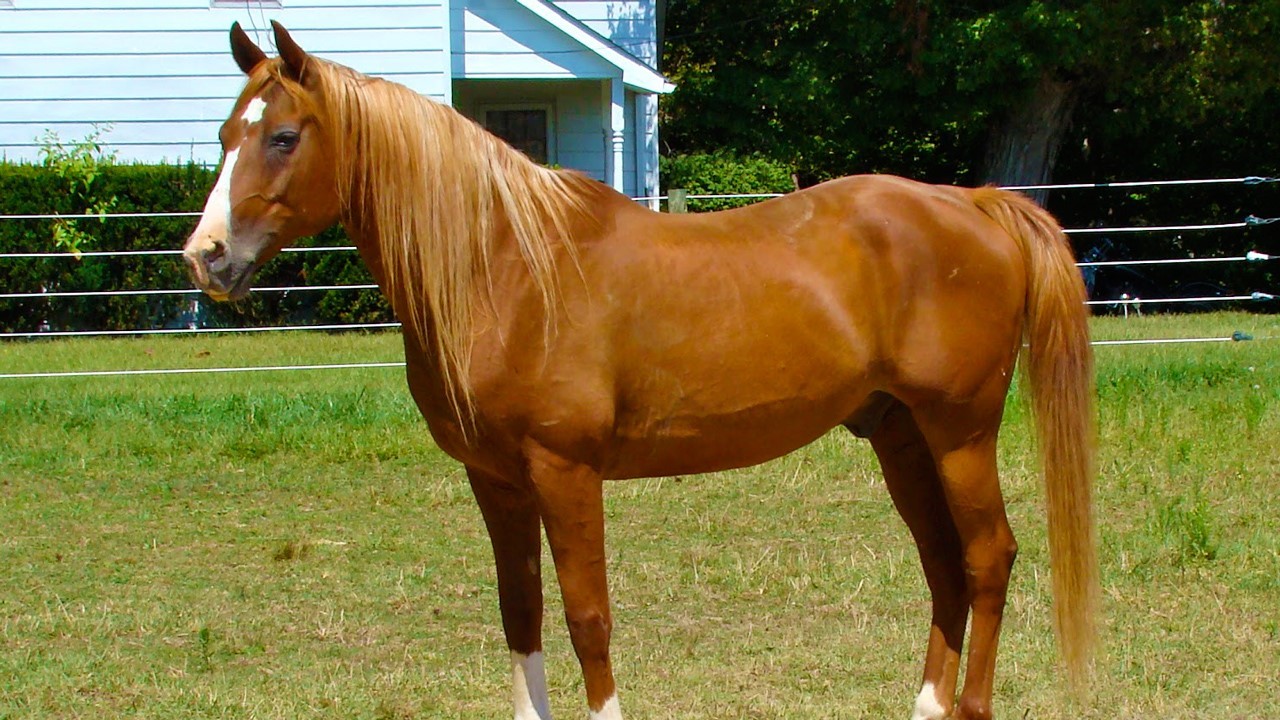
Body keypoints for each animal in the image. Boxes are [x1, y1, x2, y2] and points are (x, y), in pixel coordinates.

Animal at [183, 21, 1098, 720]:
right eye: (225, 136)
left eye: (282, 137)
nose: (207, 257)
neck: (508, 267)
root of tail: (974, 203)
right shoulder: (496, 480)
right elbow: (522, 612)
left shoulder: (565, 471)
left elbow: (588, 616)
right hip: (900, 436)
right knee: (944, 566)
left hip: (959, 433)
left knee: (987, 559)